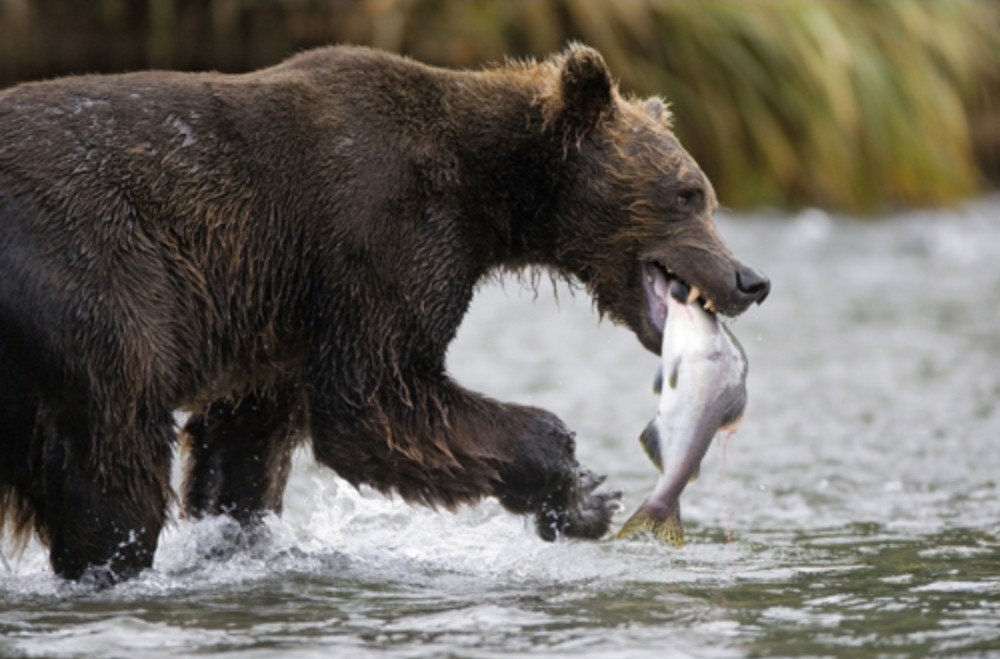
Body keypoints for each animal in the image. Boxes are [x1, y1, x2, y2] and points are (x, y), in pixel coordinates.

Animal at [0, 44, 769, 584]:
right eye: (687, 192)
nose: (750, 278)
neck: (489, 194)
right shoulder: (375, 234)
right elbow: (376, 397)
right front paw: (582, 493)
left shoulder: (281, 317)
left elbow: (246, 446)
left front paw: (239, 535)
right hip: (87, 273)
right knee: (118, 438)